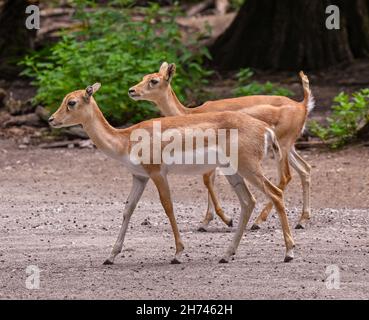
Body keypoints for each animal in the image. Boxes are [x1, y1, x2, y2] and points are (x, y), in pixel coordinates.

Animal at [48, 82, 296, 264]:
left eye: (71, 102)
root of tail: (266, 130)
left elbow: (168, 206)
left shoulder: (158, 172)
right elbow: (128, 210)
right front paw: (110, 256)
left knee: (275, 193)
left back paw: (289, 253)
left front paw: (177, 253)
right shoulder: (139, 176)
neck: (125, 140)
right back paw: (226, 255)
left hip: (249, 167)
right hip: (233, 172)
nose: (51, 119)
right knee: (248, 201)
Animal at [129, 62, 314, 231]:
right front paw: (206, 222)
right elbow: (208, 180)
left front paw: (225, 220)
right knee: (305, 169)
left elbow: (206, 180)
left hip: (282, 146)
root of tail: (303, 105)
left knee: (286, 176)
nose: (132, 90)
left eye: (154, 80)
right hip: (289, 147)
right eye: (144, 77)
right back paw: (301, 221)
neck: (190, 113)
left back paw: (258, 221)